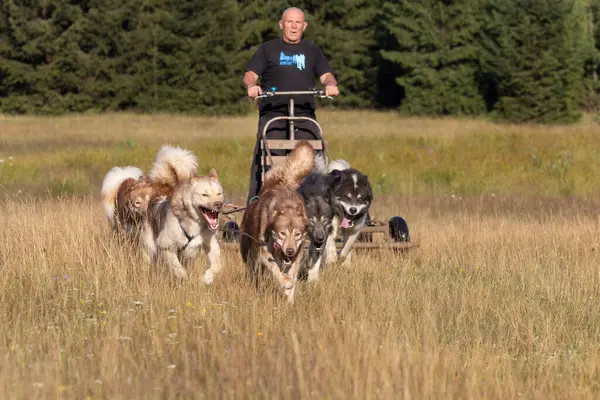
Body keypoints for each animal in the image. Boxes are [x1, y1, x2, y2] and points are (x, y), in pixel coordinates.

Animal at [239, 141, 314, 304]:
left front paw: (290, 299)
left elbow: (292, 273)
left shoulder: (298, 254)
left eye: (297, 234)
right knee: (253, 270)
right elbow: (275, 268)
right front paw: (285, 282)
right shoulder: (264, 252)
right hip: (248, 251)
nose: (290, 250)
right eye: (282, 233)